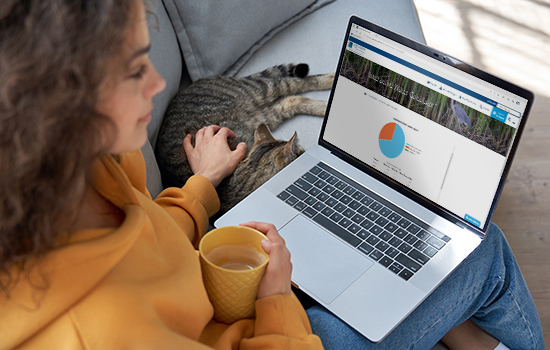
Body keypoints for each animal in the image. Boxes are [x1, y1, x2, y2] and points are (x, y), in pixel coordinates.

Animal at [156, 64, 336, 215]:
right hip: (267, 113)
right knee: (292, 98)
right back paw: (325, 105)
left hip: (260, 91)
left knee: (293, 84)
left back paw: (332, 82)